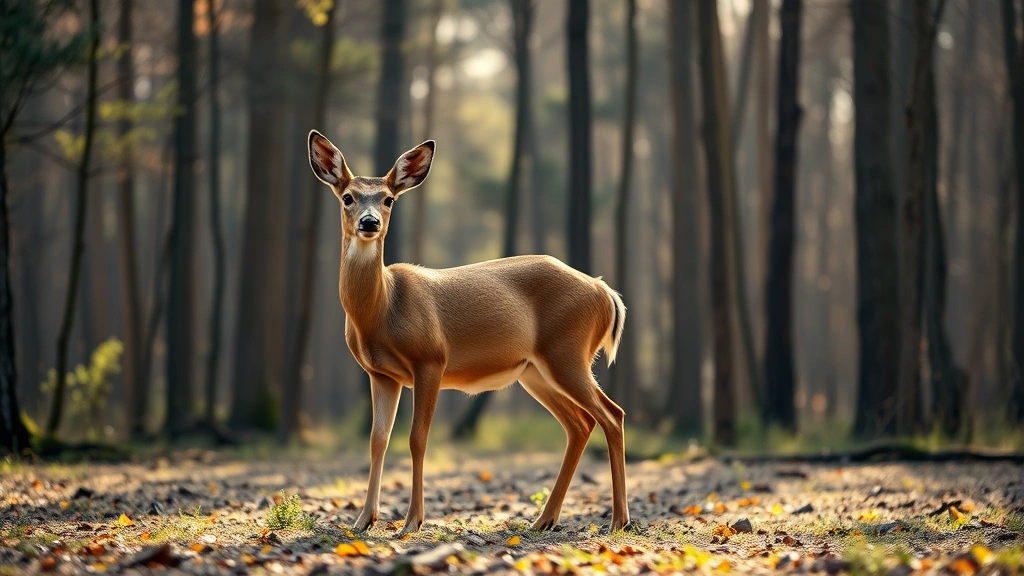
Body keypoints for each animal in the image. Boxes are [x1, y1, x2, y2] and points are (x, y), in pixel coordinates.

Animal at [307, 130, 629, 535]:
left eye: (388, 199)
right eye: (347, 197)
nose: (369, 222)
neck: (382, 308)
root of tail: (605, 292)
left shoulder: (431, 359)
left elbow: (417, 439)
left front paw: (412, 522)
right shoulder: (381, 374)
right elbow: (377, 440)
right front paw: (363, 519)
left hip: (568, 352)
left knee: (612, 415)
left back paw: (618, 521)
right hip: (535, 371)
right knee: (580, 424)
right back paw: (544, 520)